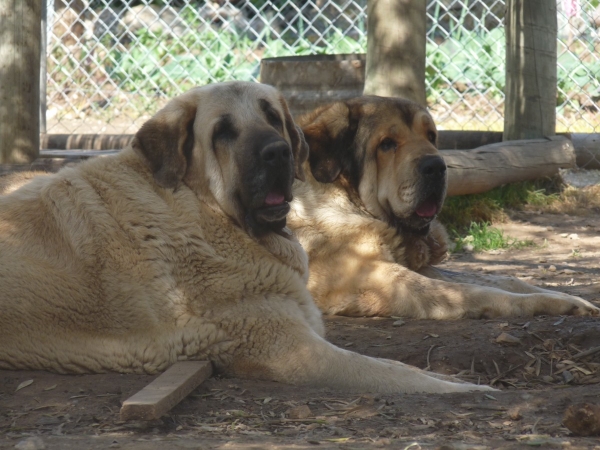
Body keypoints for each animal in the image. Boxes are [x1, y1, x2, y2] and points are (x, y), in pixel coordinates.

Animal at [0, 81, 492, 394]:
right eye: (222, 132)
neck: (205, 210)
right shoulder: (290, 346)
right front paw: (466, 389)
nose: (279, 152)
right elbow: (391, 371)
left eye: (273, 117)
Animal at [288, 96, 596, 318]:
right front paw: (545, 302)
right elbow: (472, 291)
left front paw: (566, 296)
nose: (437, 166)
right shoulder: (375, 278)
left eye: (431, 136)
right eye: (386, 144)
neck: (343, 195)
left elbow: (502, 279)